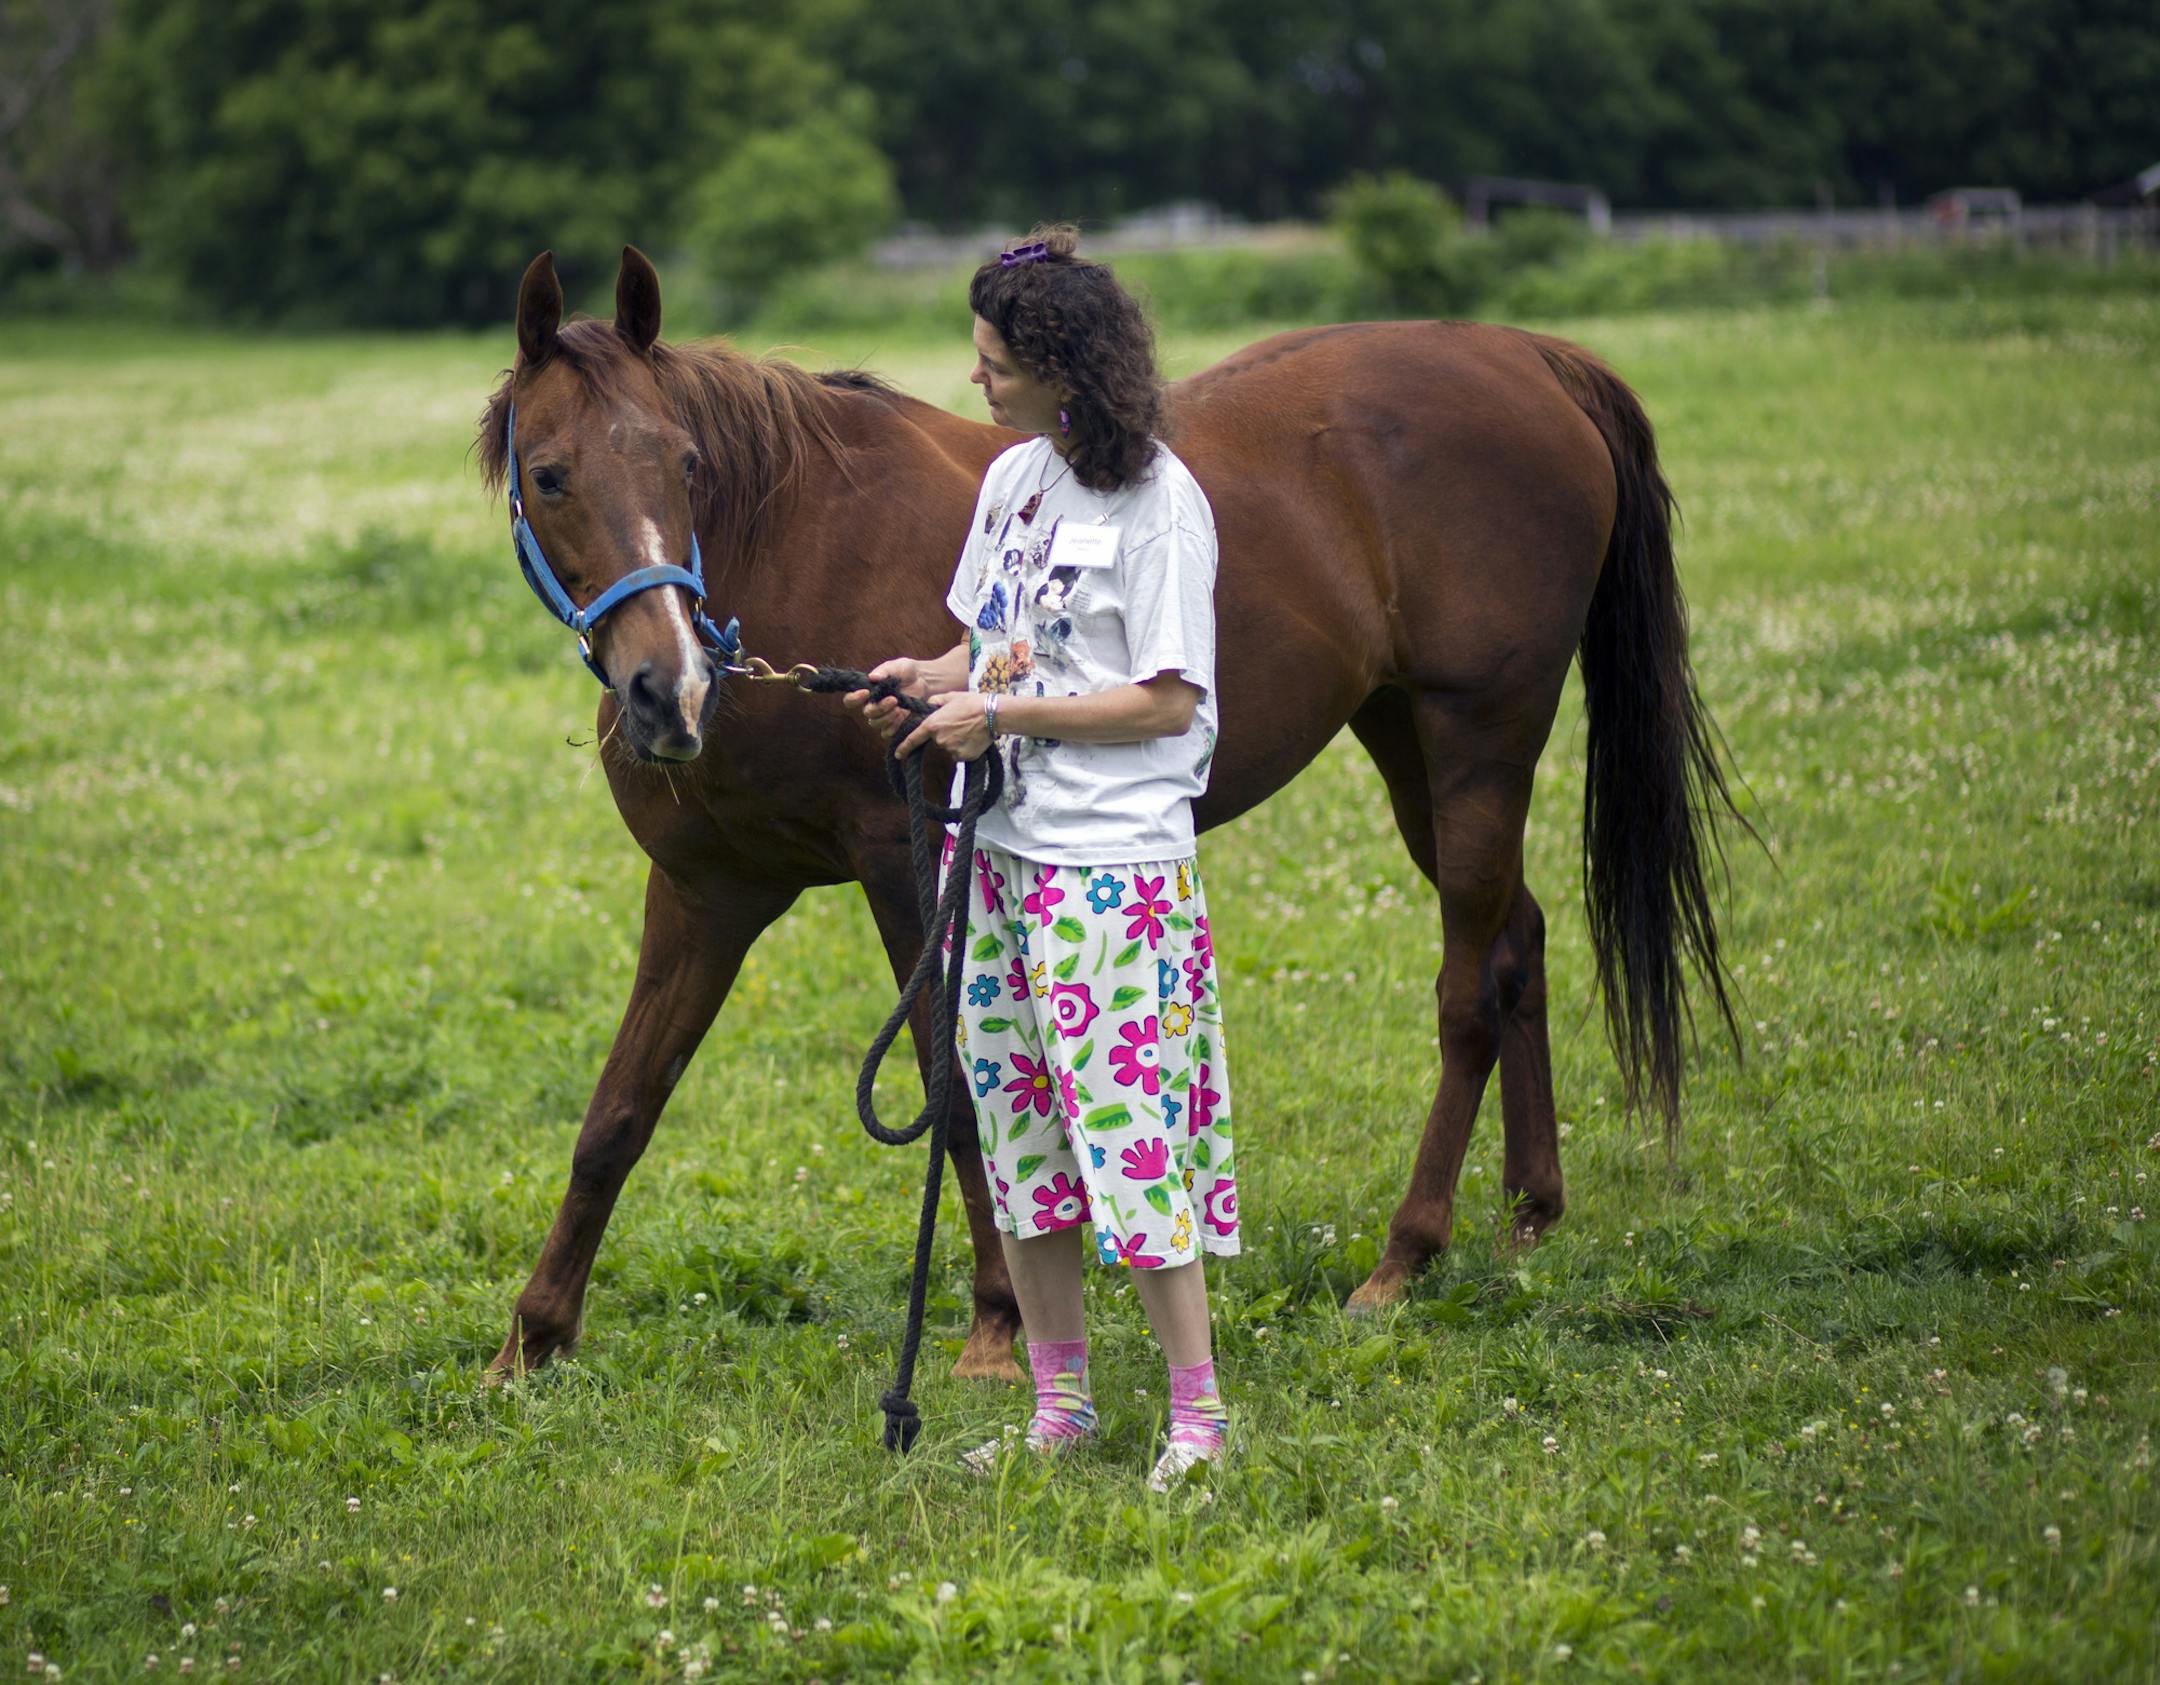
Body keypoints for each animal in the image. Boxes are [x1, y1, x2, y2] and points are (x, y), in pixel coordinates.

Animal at [474, 245, 1738, 1382]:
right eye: (551, 473)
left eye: (686, 462)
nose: (667, 690)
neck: (785, 551)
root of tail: (1530, 357)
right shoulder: (706, 892)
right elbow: (620, 1109)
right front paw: (532, 1338)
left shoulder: (905, 863)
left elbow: (951, 1092)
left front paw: (993, 1324)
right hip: (1410, 748)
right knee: (1517, 939)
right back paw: (1530, 1209)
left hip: (1478, 741)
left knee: (1470, 984)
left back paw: (1403, 1256)